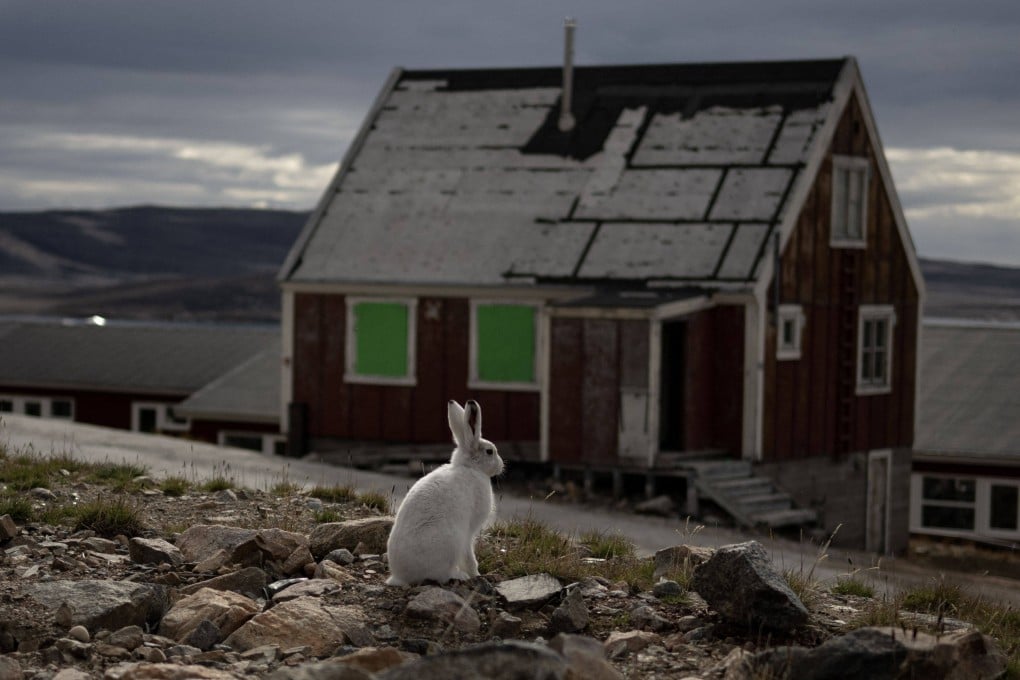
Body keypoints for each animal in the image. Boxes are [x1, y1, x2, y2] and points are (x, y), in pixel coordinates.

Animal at [385, 399, 504, 586]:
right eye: (490, 451)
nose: (501, 466)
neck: (469, 467)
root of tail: (400, 577)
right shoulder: (469, 532)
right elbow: (469, 556)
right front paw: (476, 574)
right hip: (452, 541)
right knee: (440, 575)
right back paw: (459, 575)